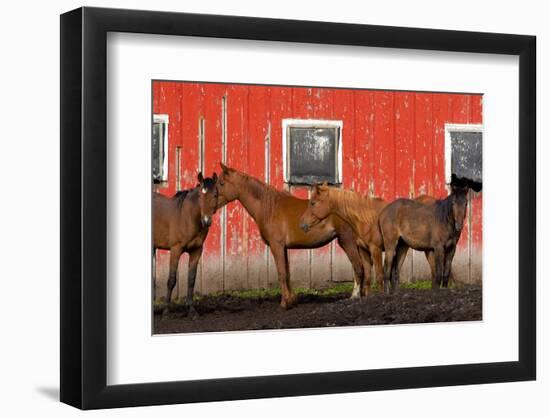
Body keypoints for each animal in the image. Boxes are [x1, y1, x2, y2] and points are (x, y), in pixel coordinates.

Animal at [153, 171, 220, 314]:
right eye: (200, 195)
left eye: (215, 194)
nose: (206, 221)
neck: (187, 217)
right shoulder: (175, 250)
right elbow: (172, 280)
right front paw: (166, 309)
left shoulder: (196, 251)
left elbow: (191, 279)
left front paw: (191, 309)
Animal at [218, 163, 368, 308]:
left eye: (221, 183)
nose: (212, 200)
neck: (270, 208)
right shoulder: (283, 248)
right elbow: (287, 273)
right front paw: (292, 300)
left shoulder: (277, 246)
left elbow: (281, 273)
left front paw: (285, 303)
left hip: (347, 241)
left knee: (358, 267)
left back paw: (354, 296)